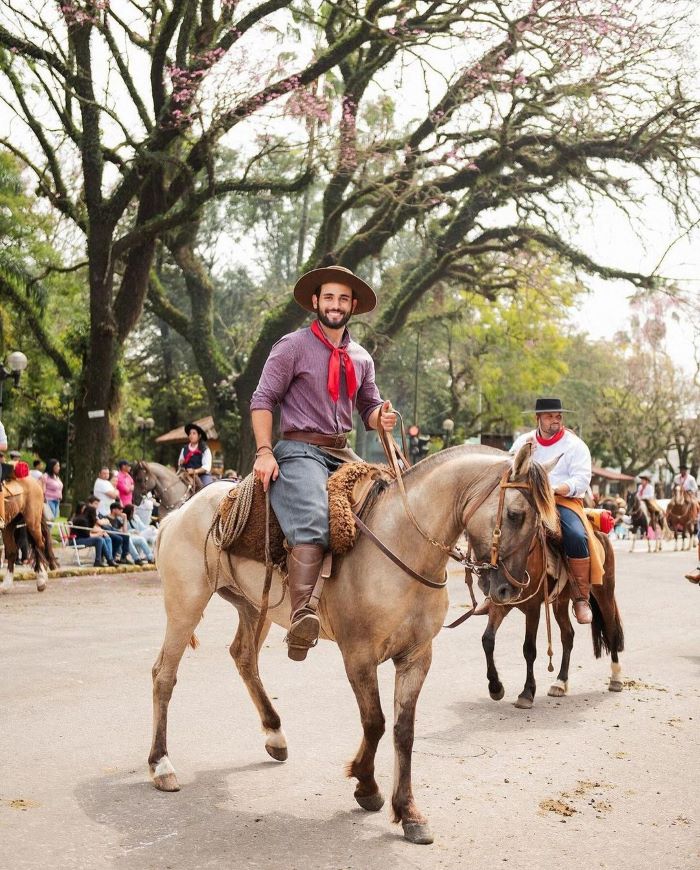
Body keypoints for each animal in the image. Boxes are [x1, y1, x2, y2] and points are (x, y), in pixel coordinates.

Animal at [148, 442, 556, 844]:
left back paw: (275, 734)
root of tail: (179, 513)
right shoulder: (359, 656)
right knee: (164, 676)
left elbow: (404, 730)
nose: (508, 589)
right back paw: (161, 764)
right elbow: (374, 722)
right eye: (515, 514)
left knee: (244, 658)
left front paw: (408, 812)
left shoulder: (417, 657)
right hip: (186, 604)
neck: (403, 545)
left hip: (253, 606)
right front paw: (366, 786)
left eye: (541, 524)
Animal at [482, 532, 624, 708]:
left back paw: (616, 678)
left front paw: (527, 693)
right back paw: (560, 683)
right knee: (568, 635)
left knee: (611, 631)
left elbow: (529, 649)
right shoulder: (500, 603)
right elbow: (488, 639)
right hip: (561, 602)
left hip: (604, 592)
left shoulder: (533, 608)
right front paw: (495, 687)